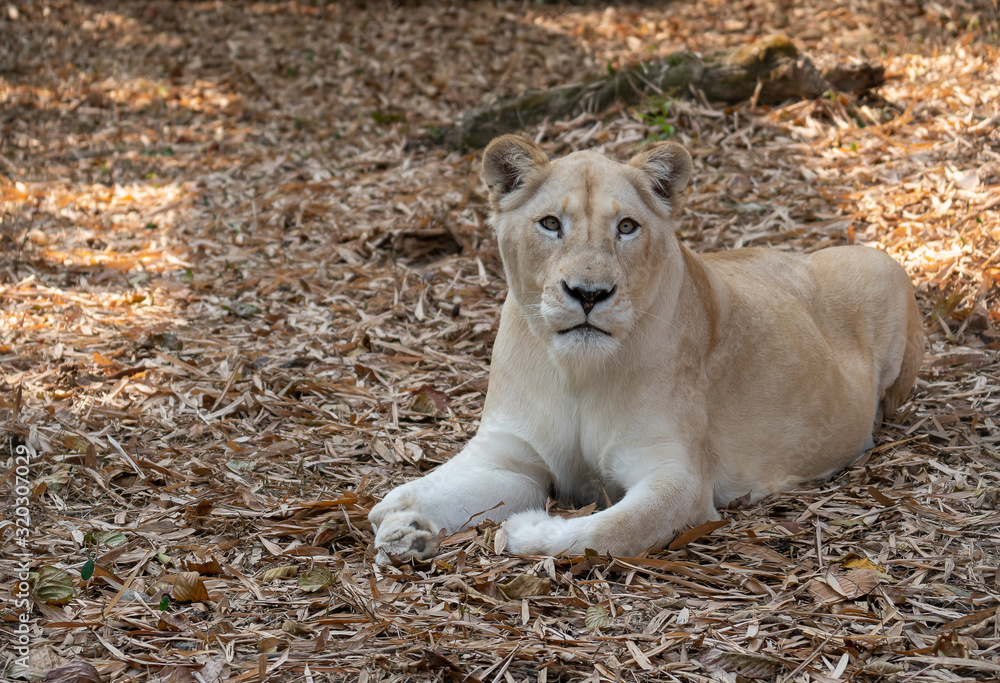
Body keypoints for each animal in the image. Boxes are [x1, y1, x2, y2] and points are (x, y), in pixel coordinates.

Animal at [368, 135, 923, 563]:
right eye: (550, 224)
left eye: (627, 227)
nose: (588, 294)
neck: (577, 373)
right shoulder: (511, 458)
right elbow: (437, 485)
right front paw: (403, 523)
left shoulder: (677, 475)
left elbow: (608, 531)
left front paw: (526, 532)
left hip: (886, 272)